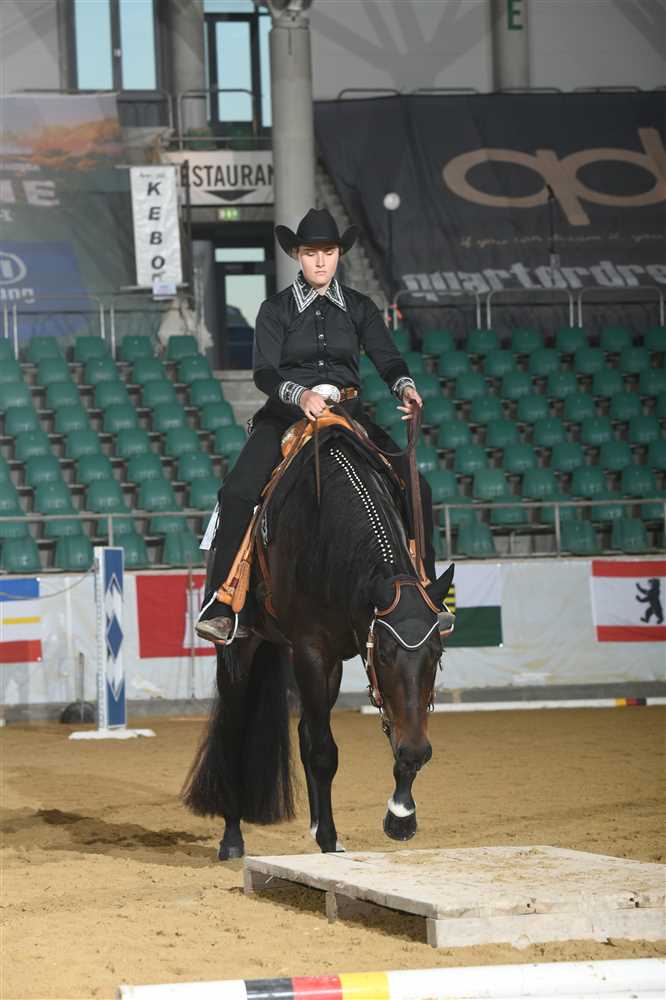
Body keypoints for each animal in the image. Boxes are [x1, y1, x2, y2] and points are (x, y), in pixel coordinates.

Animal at [182, 424, 454, 859]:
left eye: (436, 655)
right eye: (385, 655)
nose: (417, 750)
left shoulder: (338, 660)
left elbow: (368, 737)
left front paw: (400, 814)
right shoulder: (312, 650)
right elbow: (324, 752)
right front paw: (328, 838)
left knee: (306, 730)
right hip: (241, 648)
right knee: (236, 730)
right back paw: (233, 838)